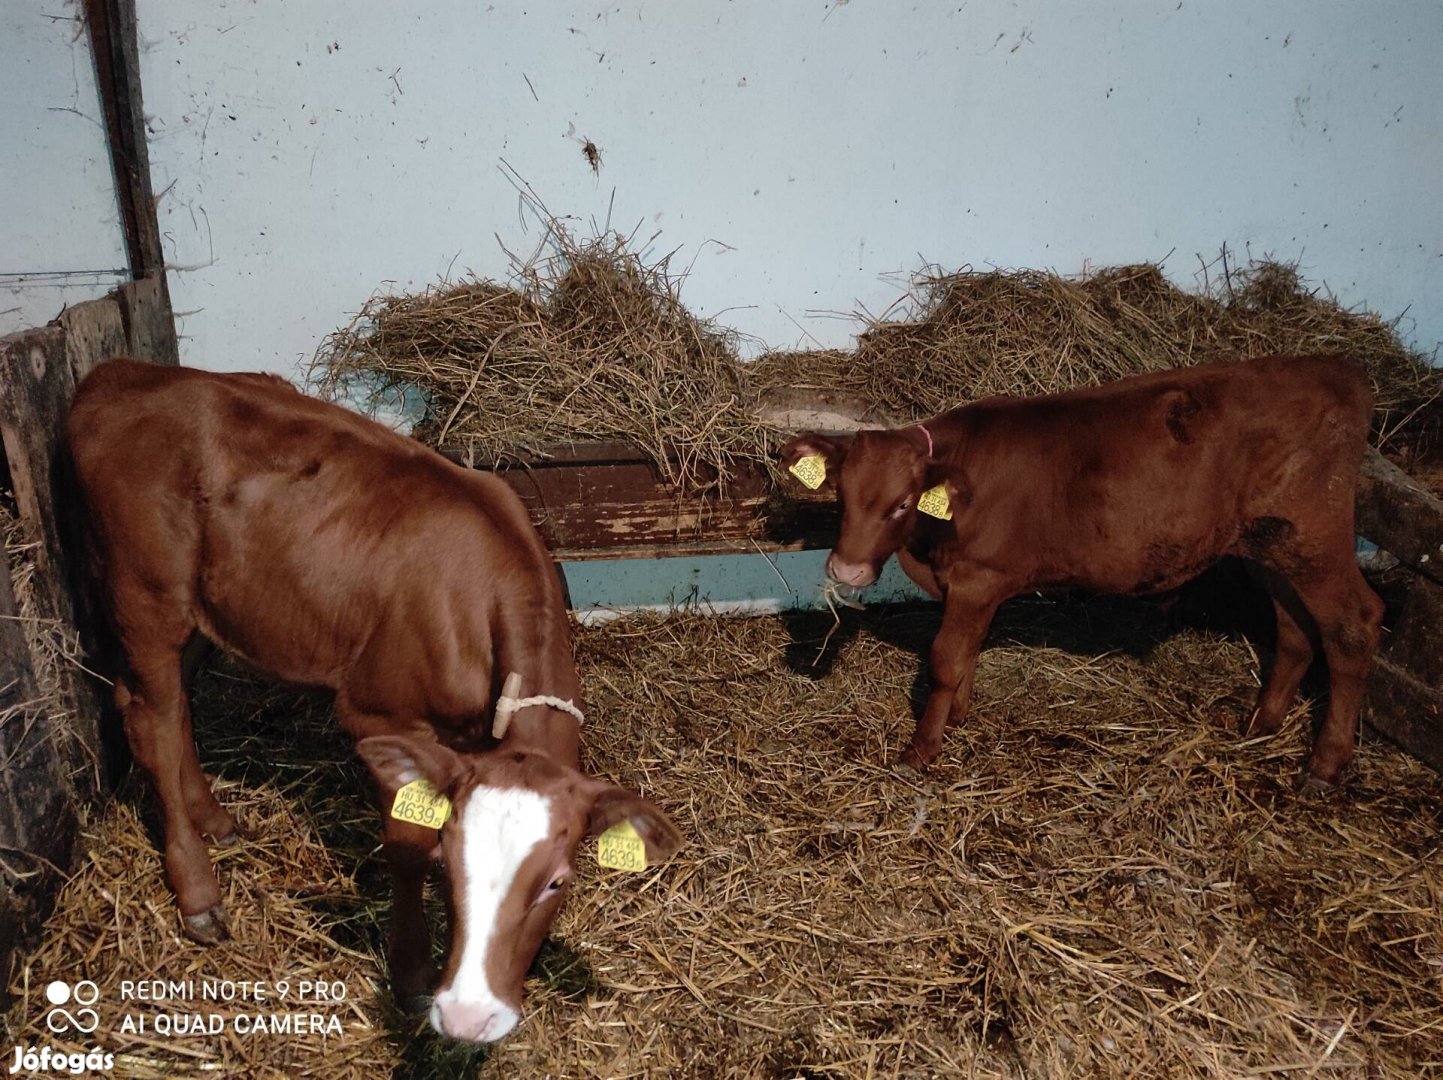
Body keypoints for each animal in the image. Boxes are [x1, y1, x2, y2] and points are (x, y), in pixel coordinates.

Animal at [62, 358, 681, 1039]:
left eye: (558, 883)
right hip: (145, 596)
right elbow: (405, 845)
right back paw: (199, 892)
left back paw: (214, 819)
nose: (471, 1017)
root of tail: (118, 375)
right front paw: (411, 973)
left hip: (208, 607)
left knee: (167, 711)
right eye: (449, 864)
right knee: (152, 720)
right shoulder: (381, 715)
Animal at [790, 353, 1385, 785]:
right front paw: (957, 716)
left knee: (1353, 625)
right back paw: (1261, 724)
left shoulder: (979, 578)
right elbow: (968, 654)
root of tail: (1337, 367)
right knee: (1295, 629)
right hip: (1272, 547)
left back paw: (1326, 765)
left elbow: (944, 661)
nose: (847, 571)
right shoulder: (973, 588)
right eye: (842, 495)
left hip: (1316, 539)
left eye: (901, 503)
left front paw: (922, 750)